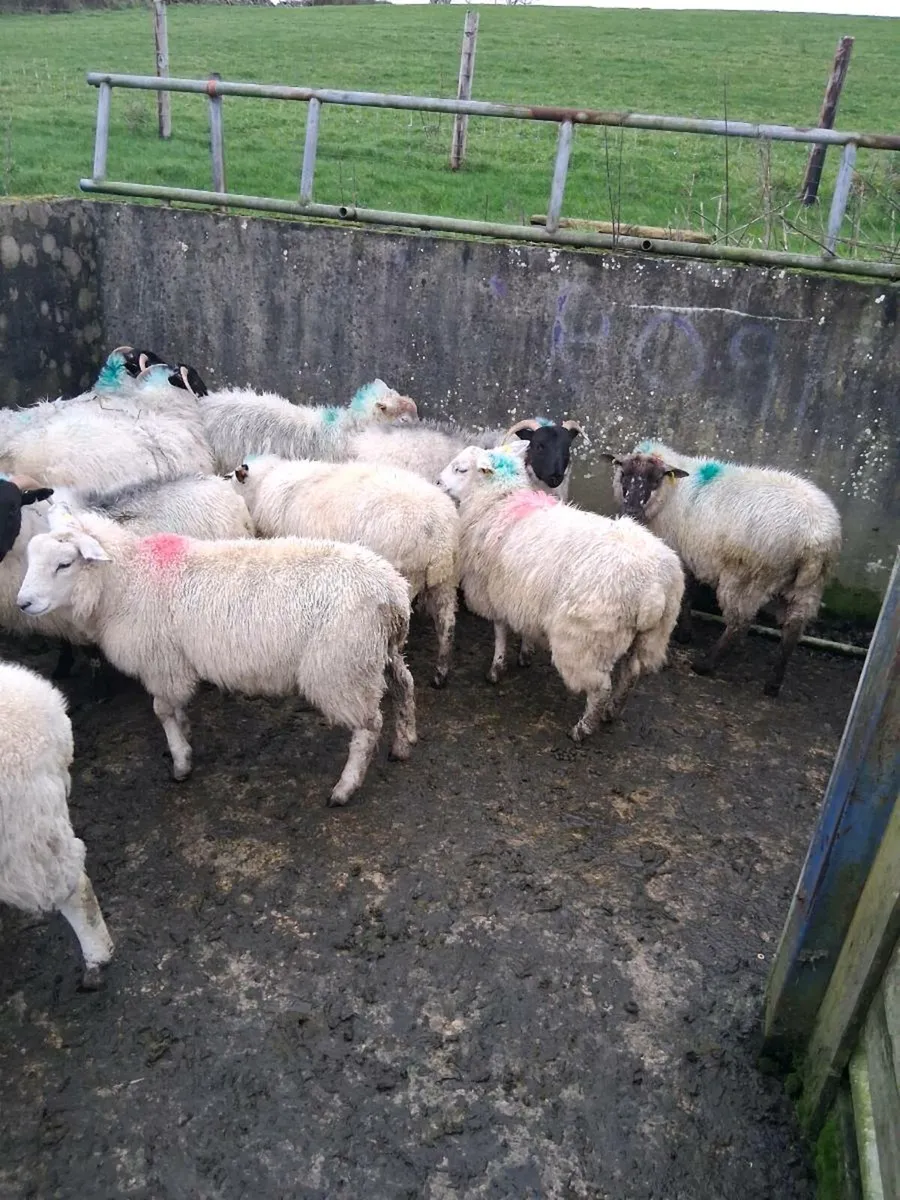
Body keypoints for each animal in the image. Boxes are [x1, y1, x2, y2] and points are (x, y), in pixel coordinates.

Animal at [17, 503, 417, 805]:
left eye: (64, 564)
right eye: (32, 557)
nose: (23, 603)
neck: (127, 581)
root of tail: (391, 590)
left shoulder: (162, 662)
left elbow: (162, 710)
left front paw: (180, 761)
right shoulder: (173, 662)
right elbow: (175, 709)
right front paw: (185, 735)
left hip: (340, 666)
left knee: (368, 726)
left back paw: (345, 787)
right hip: (379, 652)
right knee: (405, 685)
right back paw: (404, 742)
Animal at [232, 455, 458, 687]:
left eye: (231, 478)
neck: (262, 484)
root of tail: (440, 536)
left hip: (408, 576)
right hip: (446, 579)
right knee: (447, 624)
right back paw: (440, 673)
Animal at [437, 446, 684, 742]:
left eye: (461, 469)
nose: (437, 483)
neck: (500, 502)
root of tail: (652, 590)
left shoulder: (495, 591)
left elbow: (500, 631)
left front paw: (496, 668)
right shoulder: (522, 593)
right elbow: (523, 628)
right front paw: (526, 653)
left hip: (587, 638)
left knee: (600, 687)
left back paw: (583, 727)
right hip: (651, 636)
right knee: (631, 673)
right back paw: (613, 710)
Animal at [603, 441, 842, 696]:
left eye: (656, 479)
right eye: (624, 474)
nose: (631, 510)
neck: (671, 493)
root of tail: (817, 538)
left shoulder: (680, 554)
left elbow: (687, 596)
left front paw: (685, 635)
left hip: (747, 577)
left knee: (740, 622)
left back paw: (706, 665)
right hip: (808, 588)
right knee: (793, 627)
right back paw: (773, 684)